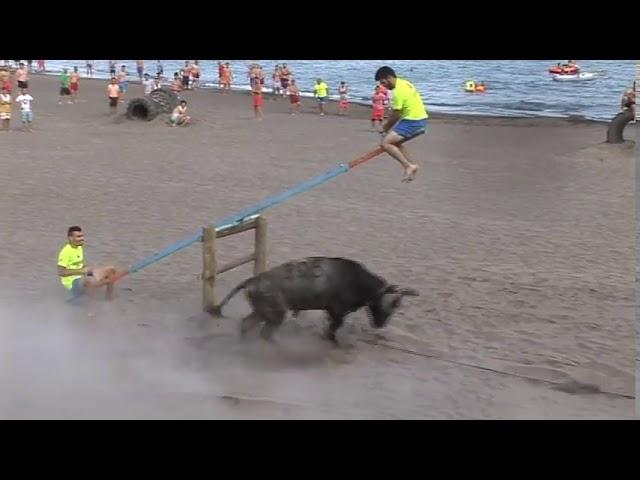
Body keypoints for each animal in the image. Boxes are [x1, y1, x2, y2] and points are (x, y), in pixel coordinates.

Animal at [210, 256, 420, 344]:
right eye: (394, 303)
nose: (381, 324)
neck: (357, 280)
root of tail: (251, 281)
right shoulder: (338, 311)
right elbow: (332, 329)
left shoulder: (332, 311)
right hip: (275, 314)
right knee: (264, 332)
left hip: (262, 312)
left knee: (247, 324)